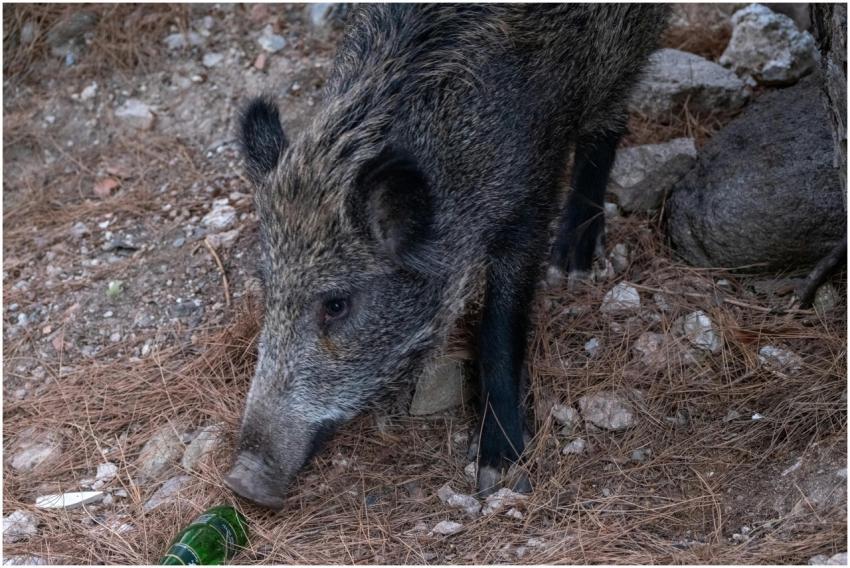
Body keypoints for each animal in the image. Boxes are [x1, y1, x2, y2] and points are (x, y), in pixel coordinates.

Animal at [226, 4, 669, 508]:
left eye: (337, 304)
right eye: (268, 290)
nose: (241, 481)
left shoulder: (531, 194)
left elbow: (499, 328)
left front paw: (498, 472)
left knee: (612, 119)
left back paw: (572, 265)